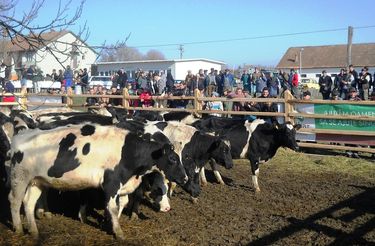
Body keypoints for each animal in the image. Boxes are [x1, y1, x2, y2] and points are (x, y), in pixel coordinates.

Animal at [9, 124, 188, 239]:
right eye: (172, 159)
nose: (185, 178)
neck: (128, 151)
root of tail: (21, 135)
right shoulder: (111, 183)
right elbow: (112, 207)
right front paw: (119, 233)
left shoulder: (123, 184)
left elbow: (122, 204)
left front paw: (108, 224)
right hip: (19, 178)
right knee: (15, 201)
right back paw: (18, 229)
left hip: (37, 181)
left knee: (28, 203)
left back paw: (34, 232)